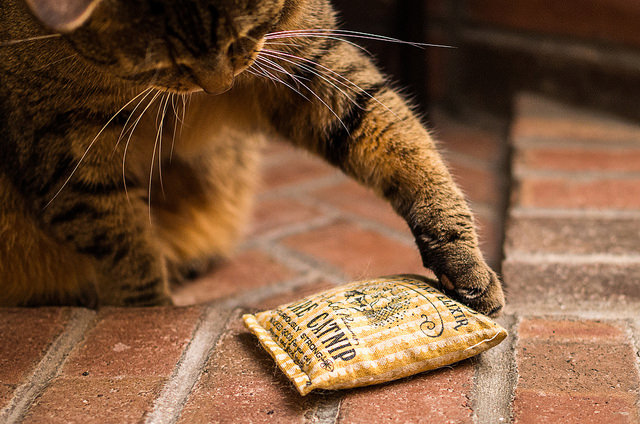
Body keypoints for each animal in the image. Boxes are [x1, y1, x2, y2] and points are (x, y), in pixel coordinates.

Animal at [0, 0, 504, 314]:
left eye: (242, 36)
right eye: (161, 63)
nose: (218, 85)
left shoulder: (306, 62)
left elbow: (406, 145)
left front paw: (462, 260)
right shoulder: (61, 151)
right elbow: (124, 247)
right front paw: (150, 313)